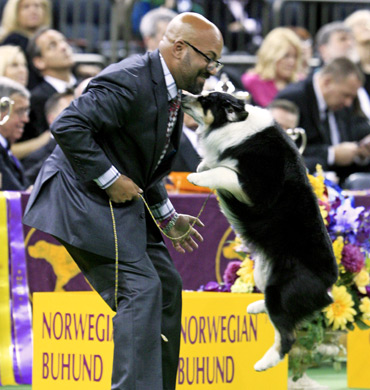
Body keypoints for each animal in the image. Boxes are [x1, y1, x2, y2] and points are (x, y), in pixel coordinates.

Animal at [182, 91, 338, 372]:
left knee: (286, 335)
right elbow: (215, 165)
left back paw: (264, 363)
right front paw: (202, 167)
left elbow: (223, 171)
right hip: (262, 274)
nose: (183, 94)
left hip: (281, 287)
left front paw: (196, 177)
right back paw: (256, 306)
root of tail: (328, 286)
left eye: (206, 100)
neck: (236, 125)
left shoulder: (255, 189)